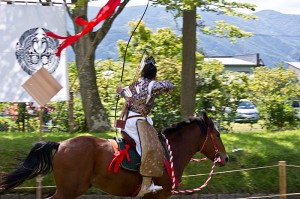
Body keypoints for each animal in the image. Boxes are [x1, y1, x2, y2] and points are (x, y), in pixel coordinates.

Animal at [0, 112, 229, 198]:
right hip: (69, 190)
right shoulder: (159, 196)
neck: (170, 152)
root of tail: (61, 144)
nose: (225, 158)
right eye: (217, 134)